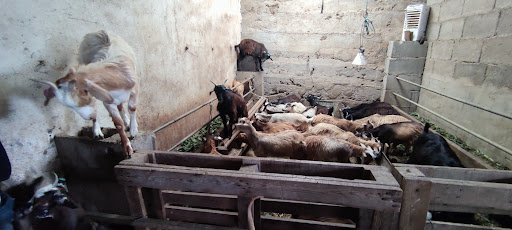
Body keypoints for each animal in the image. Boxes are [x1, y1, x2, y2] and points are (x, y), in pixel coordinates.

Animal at [33, 30, 139, 158]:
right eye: (69, 106)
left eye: (83, 94)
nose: (89, 117)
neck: (116, 74)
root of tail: (99, 31)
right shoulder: (107, 100)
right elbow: (118, 123)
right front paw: (127, 148)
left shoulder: (134, 89)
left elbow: (132, 108)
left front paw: (133, 130)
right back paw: (97, 131)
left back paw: (127, 123)